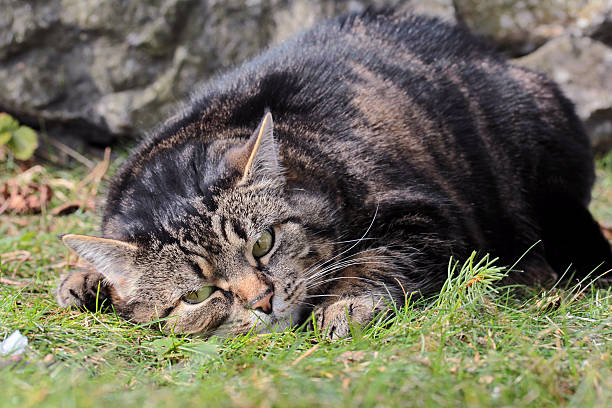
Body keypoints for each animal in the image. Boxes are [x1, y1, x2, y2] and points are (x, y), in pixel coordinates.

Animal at [55, 11, 608, 340]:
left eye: (263, 245)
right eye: (197, 295)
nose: (262, 301)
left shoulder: (426, 214)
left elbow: (376, 261)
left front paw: (345, 306)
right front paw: (86, 280)